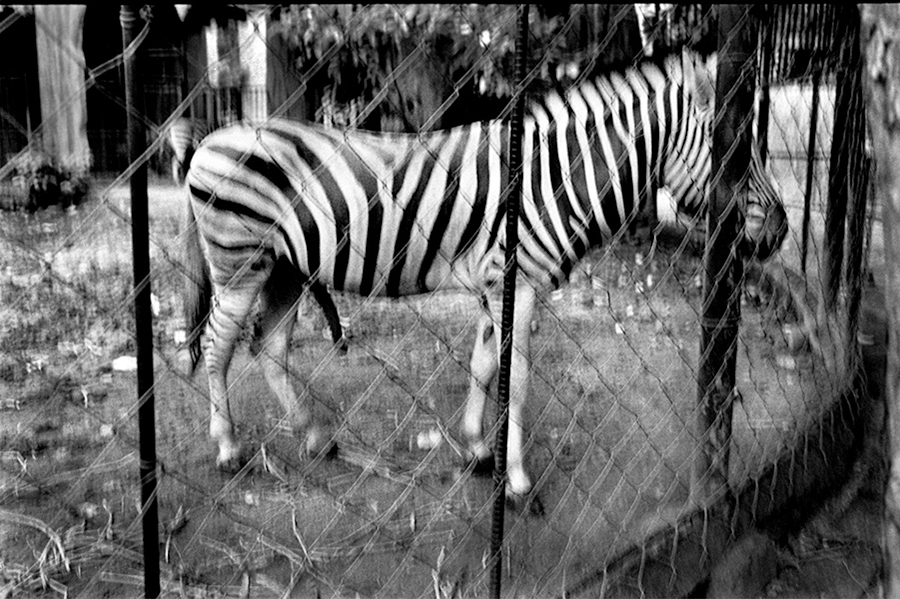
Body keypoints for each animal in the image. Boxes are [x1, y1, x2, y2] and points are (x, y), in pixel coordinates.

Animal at [178, 50, 788, 504]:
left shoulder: (494, 284)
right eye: (738, 155)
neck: (550, 178)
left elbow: (482, 364)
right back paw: (228, 447)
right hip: (240, 262)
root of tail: (208, 138)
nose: (782, 231)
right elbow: (514, 378)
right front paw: (515, 480)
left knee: (269, 346)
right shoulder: (519, 283)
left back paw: (314, 436)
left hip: (284, 266)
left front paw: (475, 449)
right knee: (218, 343)